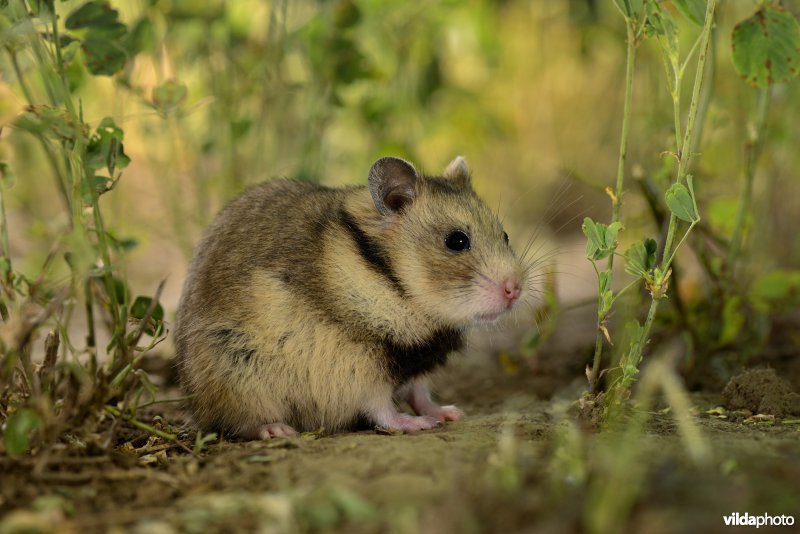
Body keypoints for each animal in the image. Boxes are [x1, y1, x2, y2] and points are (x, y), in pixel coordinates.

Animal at [175, 156, 529, 439]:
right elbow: (382, 408)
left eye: (505, 235)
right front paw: (418, 424)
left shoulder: (415, 363)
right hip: (238, 375)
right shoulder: (357, 368)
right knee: (237, 422)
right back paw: (276, 430)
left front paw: (449, 413)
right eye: (456, 241)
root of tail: (194, 406)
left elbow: (420, 393)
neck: (392, 282)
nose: (515, 290)